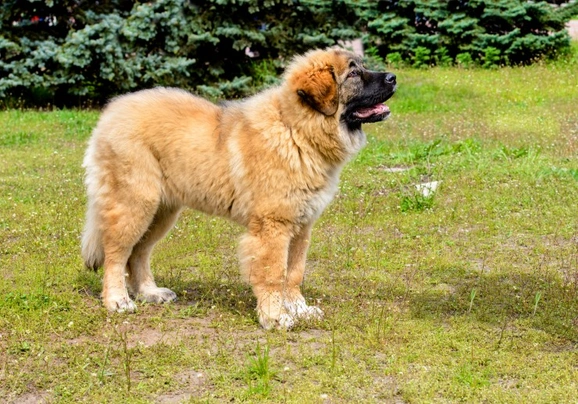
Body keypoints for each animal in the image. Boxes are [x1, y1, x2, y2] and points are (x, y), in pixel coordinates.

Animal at [82, 49, 396, 330]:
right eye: (353, 73)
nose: (393, 77)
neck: (295, 130)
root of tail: (112, 111)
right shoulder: (273, 226)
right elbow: (273, 274)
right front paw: (275, 317)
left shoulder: (301, 226)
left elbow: (294, 273)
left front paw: (299, 309)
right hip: (136, 203)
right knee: (116, 253)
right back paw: (117, 300)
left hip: (163, 211)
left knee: (139, 253)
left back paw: (150, 292)